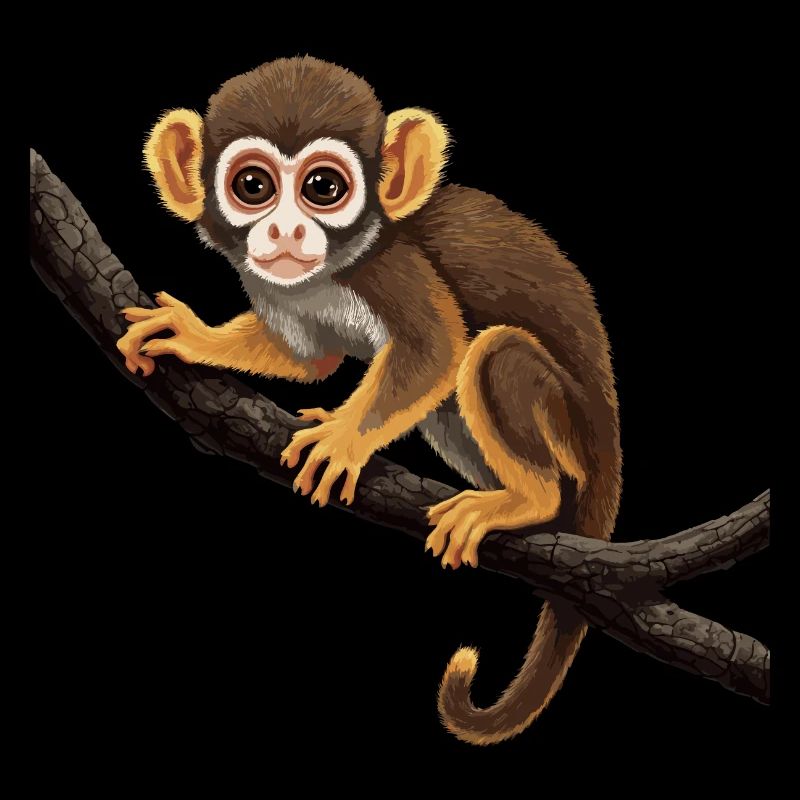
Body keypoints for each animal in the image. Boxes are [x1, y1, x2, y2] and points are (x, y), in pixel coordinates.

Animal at [117, 56, 622, 746]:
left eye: (323, 188)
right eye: (253, 185)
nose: (284, 229)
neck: (337, 265)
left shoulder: (395, 267)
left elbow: (437, 347)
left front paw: (342, 439)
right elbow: (309, 359)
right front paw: (192, 337)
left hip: (572, 433)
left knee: (494, 354)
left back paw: (529, 499)